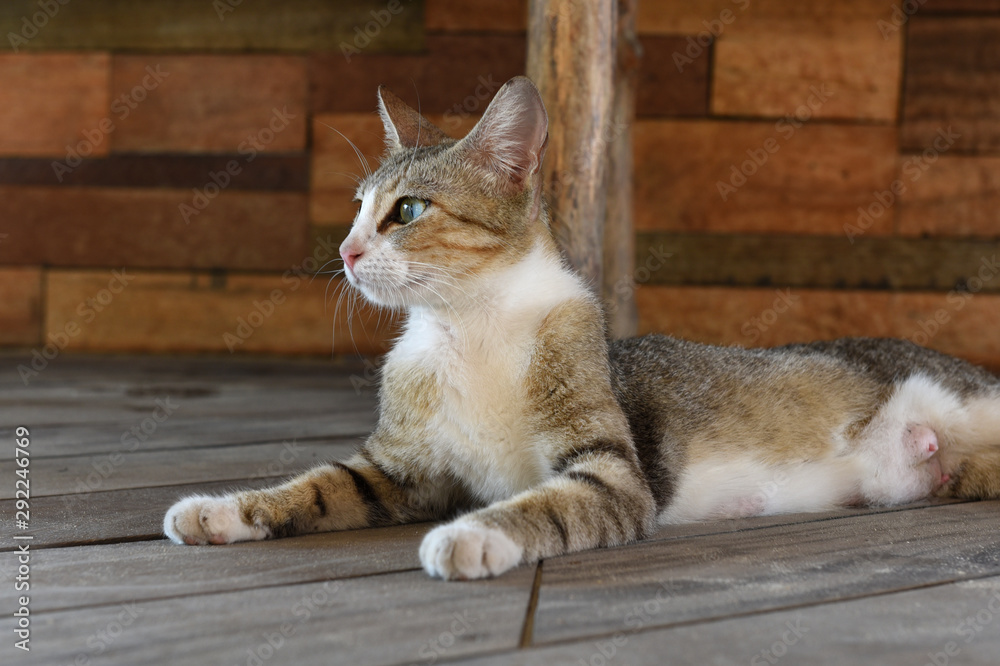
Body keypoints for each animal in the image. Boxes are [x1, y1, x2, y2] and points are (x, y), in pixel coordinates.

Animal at [165, 76, 1000, 580]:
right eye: (356, 209)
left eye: (407, 211)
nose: (344, 251)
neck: (468, 327)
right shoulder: (396, 471)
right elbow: (314, 486)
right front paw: (220, 511)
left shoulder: (608, 473)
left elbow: (546, 504)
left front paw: (474, 534)